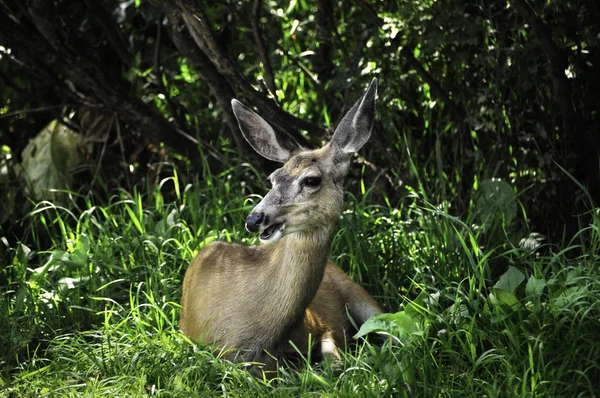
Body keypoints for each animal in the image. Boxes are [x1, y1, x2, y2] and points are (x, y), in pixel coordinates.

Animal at [179, 78, 384, 374]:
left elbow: (334, 359)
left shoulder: (322, 325)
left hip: (362, 297)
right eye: (273, 177)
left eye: (312, 180)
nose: (255, 219)